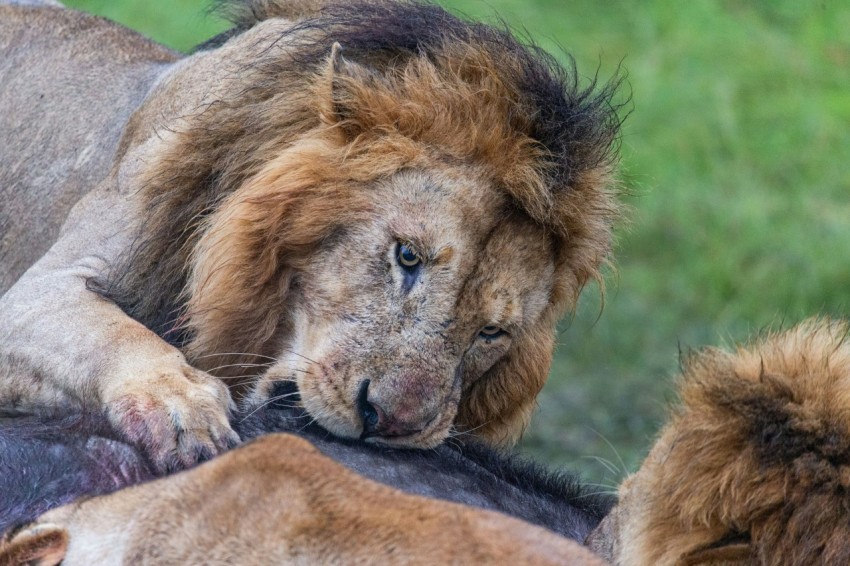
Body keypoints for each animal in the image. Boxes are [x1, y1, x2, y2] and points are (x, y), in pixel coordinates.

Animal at [0, 0, 624, 472]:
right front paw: (182, 408)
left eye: (493, 332)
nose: (391, 423)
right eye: (406, 256)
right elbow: (112, 332)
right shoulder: (40, 291)